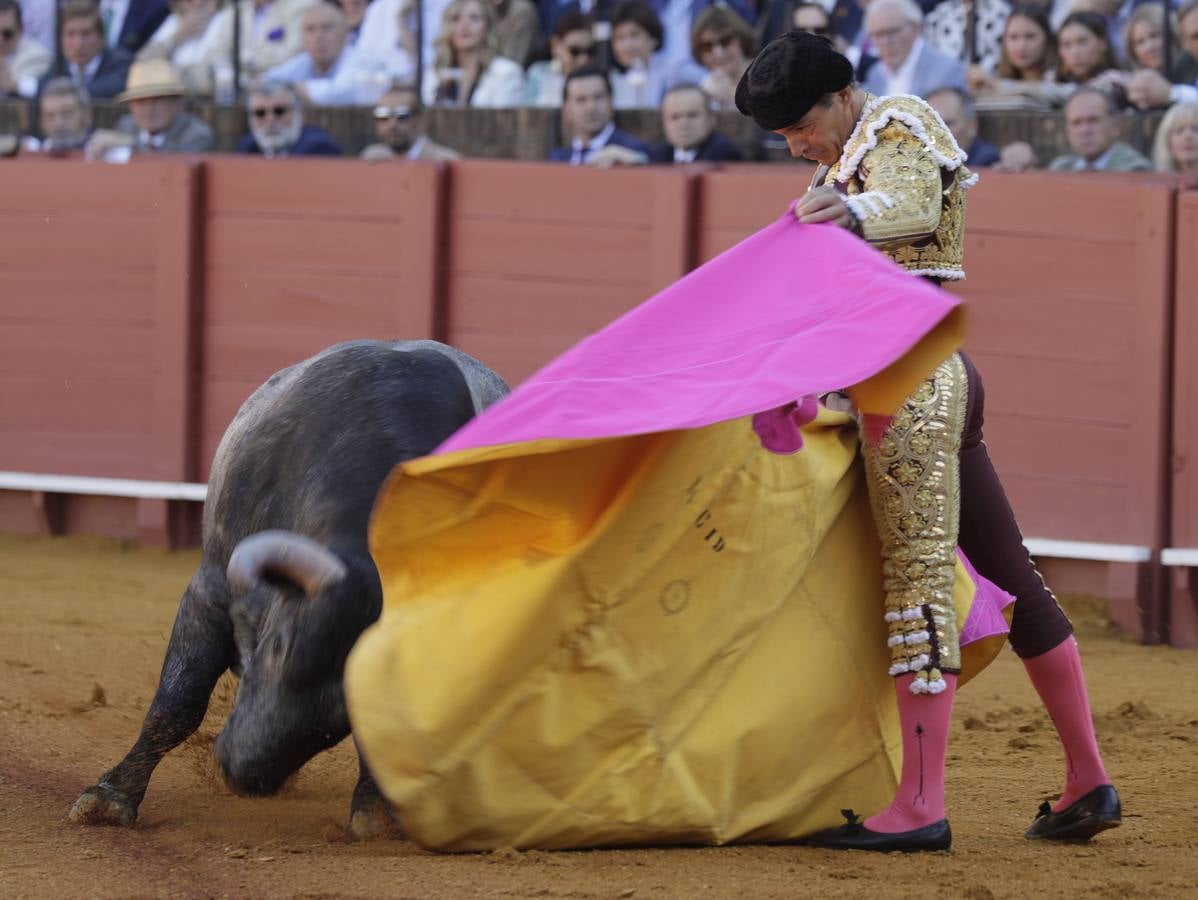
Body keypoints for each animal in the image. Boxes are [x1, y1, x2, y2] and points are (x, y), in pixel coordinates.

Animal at [68, 337, 510, 838]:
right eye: (278, 646)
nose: (243, 776)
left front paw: (376, 813)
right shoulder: (208, 592)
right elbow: (177, 702)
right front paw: (108, 799)